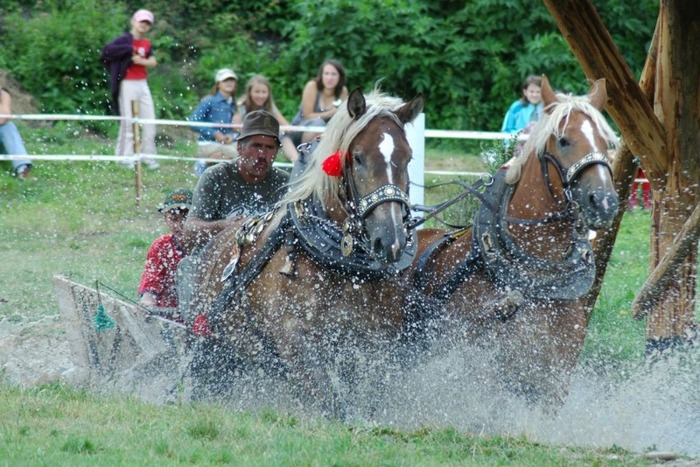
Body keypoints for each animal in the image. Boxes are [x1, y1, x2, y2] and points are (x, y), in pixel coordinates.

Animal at [186, 88, 424, 416]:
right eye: (358, 158)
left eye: (408, 157)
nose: (391, 240)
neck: (342, 265)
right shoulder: (295, 340)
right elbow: (330, 404)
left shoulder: (374, 343)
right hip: (212, 348)